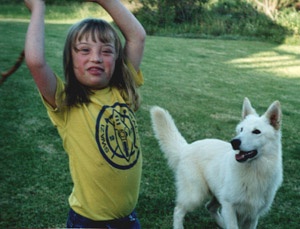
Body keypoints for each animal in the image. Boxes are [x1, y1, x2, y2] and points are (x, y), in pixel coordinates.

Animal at [151, 98, 282, 229]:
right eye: (241, 129)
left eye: (256, 131)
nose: (234, 142)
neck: (254, 170)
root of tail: (186, 148)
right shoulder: (229, 206)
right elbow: (232, 226)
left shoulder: (252, 216)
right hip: (195, 195)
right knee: (178, 210)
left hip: (216, 195)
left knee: (209, 207)